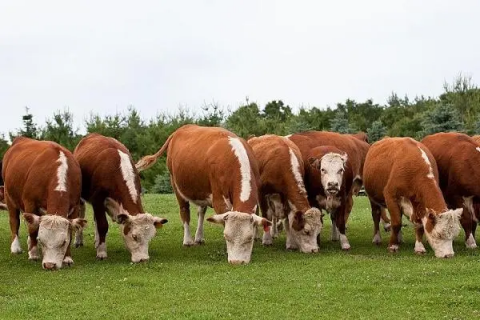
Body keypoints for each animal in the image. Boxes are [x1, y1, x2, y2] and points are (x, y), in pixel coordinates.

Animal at [1, 136, 87, 268]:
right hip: (9, 195)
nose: (49, 265)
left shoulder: (75, 206)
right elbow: (32, 229)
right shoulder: (30, 203)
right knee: (14, 221)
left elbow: (70, 232)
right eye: (41, 241)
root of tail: (21, 138)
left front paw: (67, 258)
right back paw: (16, 247)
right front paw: (33, 254)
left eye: (63, 242)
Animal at [72, 134, 168, 264]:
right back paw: (79, 241)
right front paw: (102, 252)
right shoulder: (97, 199)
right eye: (134, 236)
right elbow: (102, 225)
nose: (143, 259)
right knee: (81, 213)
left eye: (150, 237)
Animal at [135, 124, 272, 264]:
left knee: (201, 211)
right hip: (176, 184)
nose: (237, 262)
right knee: (185, 211)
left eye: (249, 238)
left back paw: (199, 237)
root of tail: (181, 129)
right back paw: (188, 240)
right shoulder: (219, 201)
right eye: (226, 237)